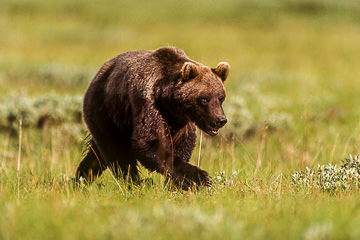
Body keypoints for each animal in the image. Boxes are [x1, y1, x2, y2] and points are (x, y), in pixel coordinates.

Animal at [76, 46, 231, 189]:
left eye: (221, 98)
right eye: (204, 99)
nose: (220, 120)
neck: (169, 103)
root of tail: (99, 74)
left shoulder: (182, 122)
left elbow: (183, 145)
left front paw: (175, 184)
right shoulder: (147, 103)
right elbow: (149, 143)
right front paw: (198, 177)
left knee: (97, 154)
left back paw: (81, 177)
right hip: (107, 111)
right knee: (118, 153)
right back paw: (133, 183)